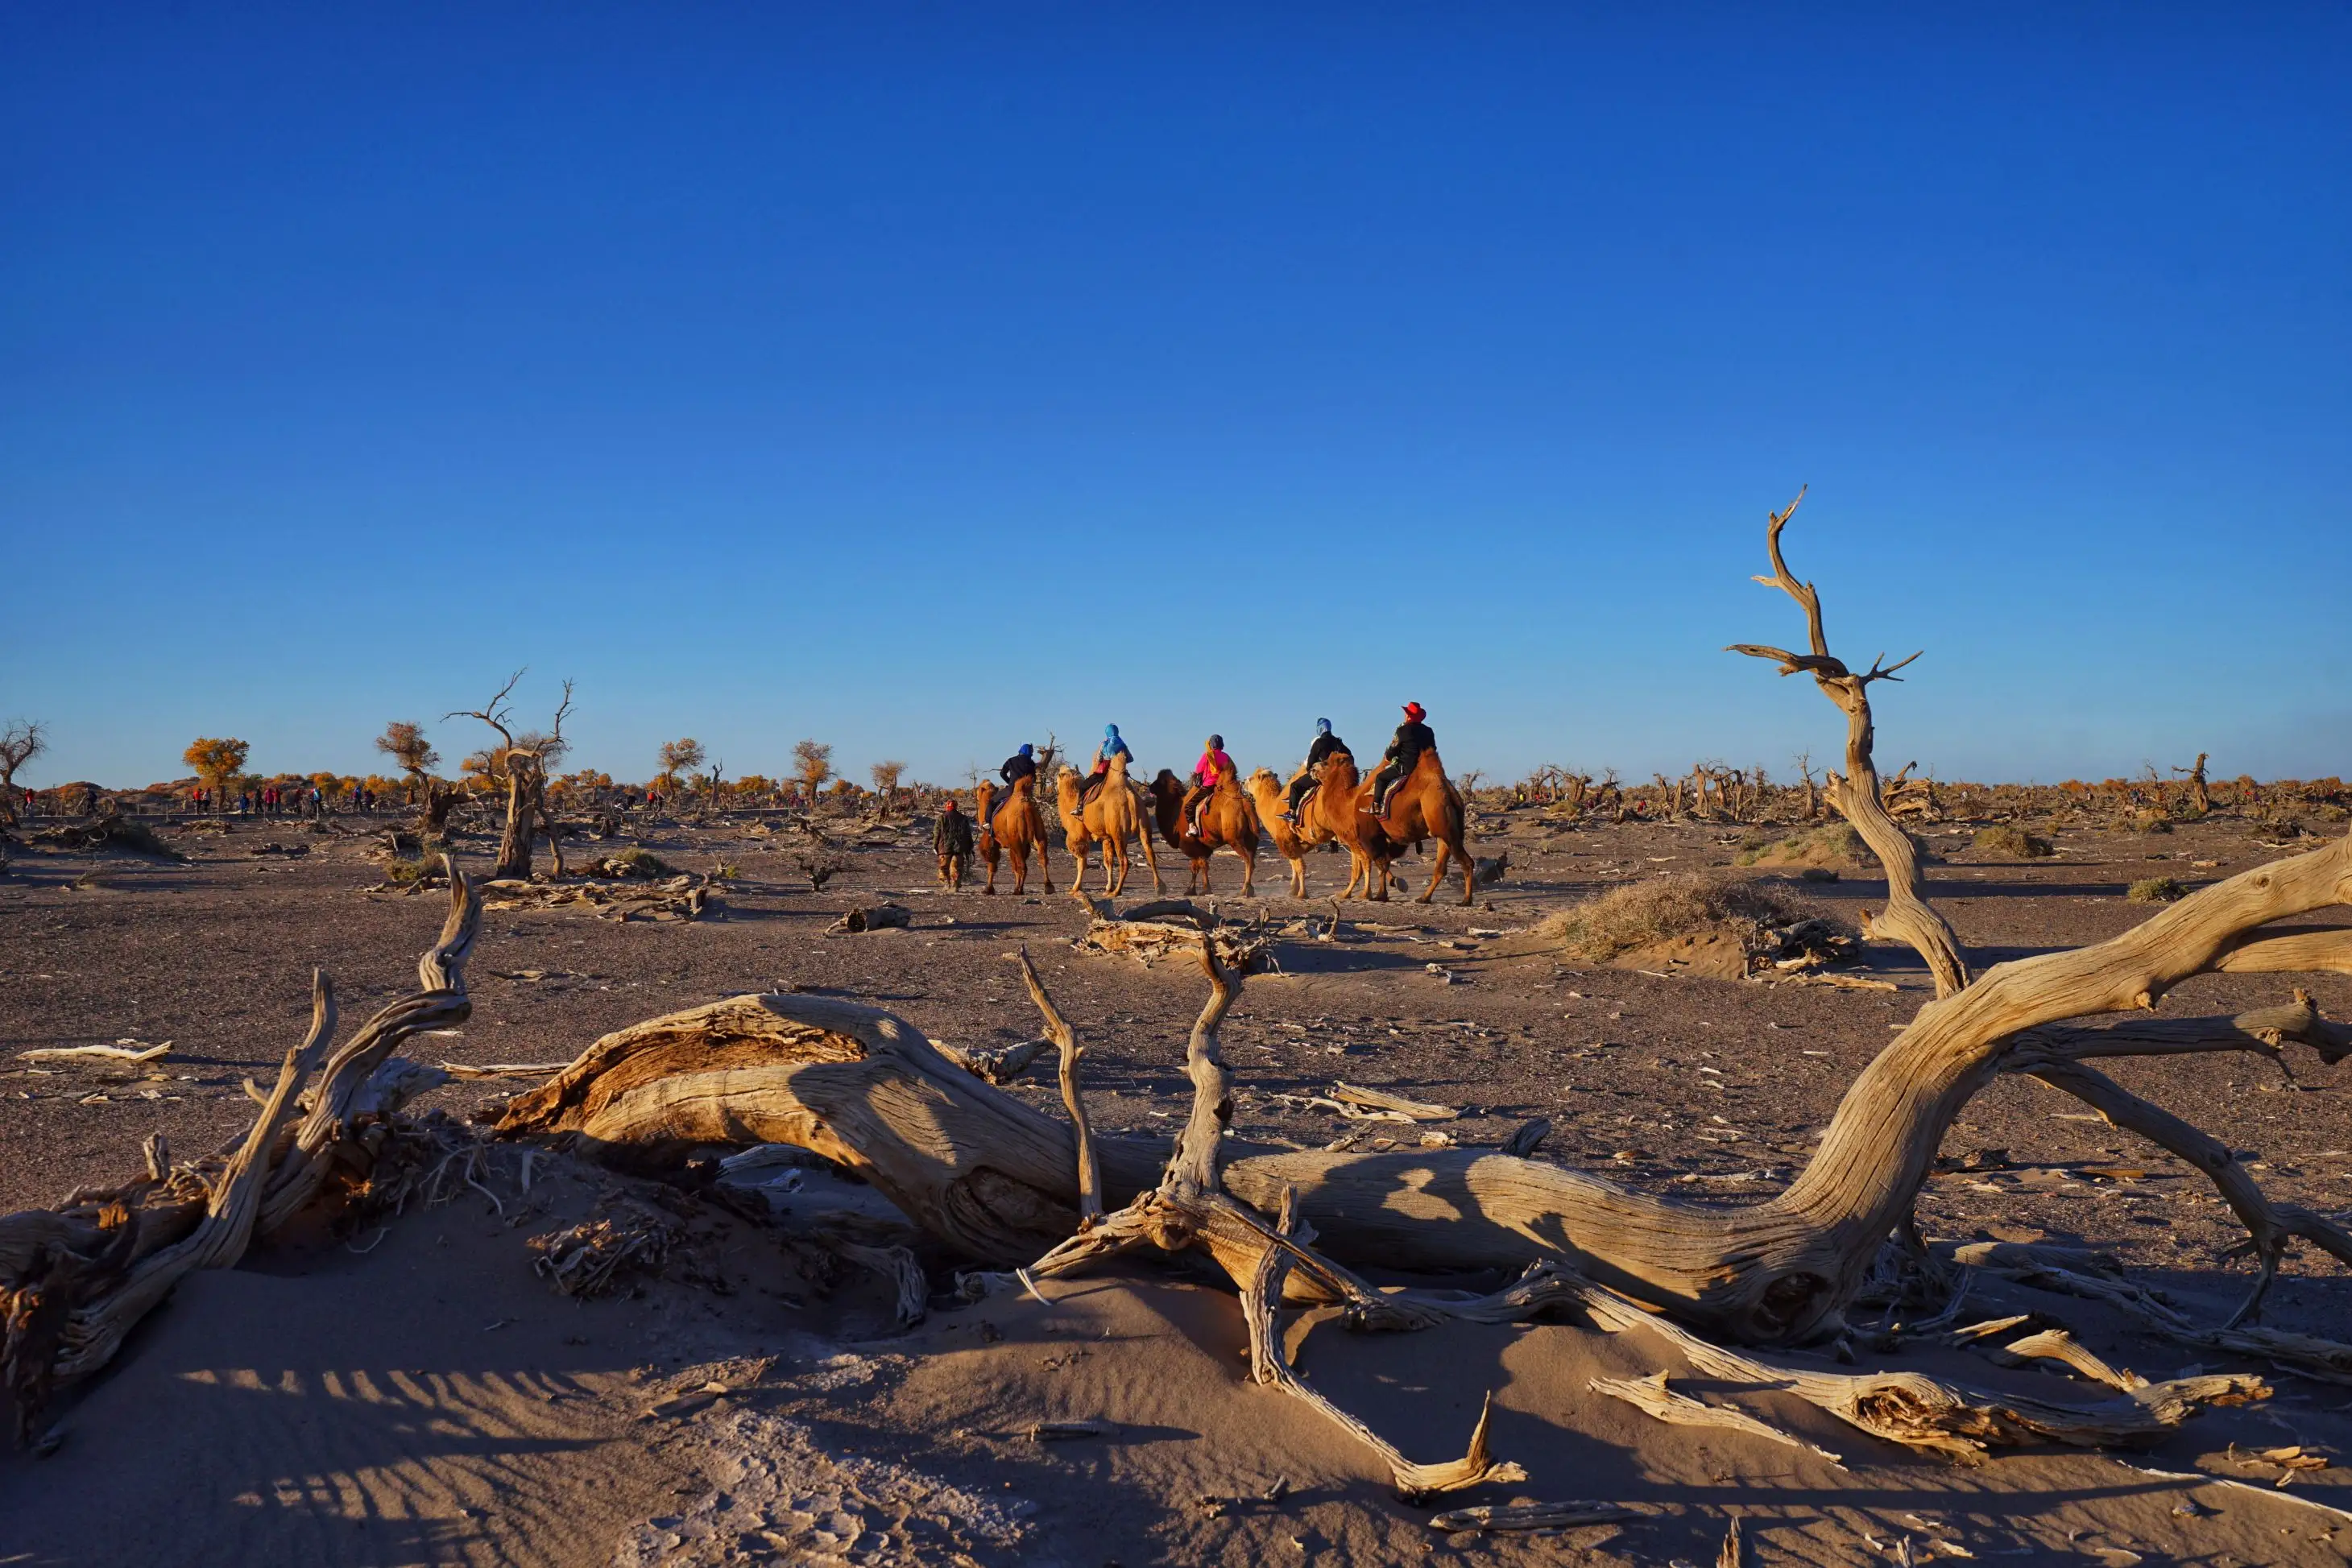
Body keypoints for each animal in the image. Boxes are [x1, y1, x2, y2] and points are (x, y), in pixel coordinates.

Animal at [969, 780, 1054, 902]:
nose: (973, 794)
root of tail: (1026, 808)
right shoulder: (1014, 845)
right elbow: (1014, 867)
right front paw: (1015, 886)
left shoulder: (992, 841)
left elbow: (992, 864)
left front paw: (988, 889)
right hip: (1039, 832)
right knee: (1042, 859)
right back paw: (1048, 887)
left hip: (1017, 839)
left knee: (1023, 866)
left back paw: (1020, 891)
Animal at [1054, 756, 1162, 893]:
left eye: (1058, 775)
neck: (1071, 802)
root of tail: (1130, 797)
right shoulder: (1106, 838)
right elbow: (1108, 861)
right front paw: (1109, 887)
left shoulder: (1079, 835)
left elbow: (1082, 862)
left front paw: (1076, 888)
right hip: (1144, 826)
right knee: (1150, 854)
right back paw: (1159, 886)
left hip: (1118, 832)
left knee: (1124, 861)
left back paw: (1118, 891)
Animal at [1143, 771, 1261, 893]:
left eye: (1160, 781)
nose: (1151, 787)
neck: (1176, 813)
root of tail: (1245, 805)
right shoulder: (1203, 848)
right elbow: (1200, 866)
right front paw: (1194, 890)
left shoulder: (1192, 845)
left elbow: (1199, 866)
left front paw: (1201, 889)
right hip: (1251, 839)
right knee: (1252, 860)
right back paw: (1250, 889)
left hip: (1234, 840)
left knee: (1248, 860)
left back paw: (1245, 890)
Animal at [1241, 771, 1335, 902]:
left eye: (1251, 779)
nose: (1242, 782)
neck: (1272, 811)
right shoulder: (1296, 844)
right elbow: (1294, 865)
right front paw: (1293, 890)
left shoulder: (1287, 841)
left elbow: (1300, 867)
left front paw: (1302, 894)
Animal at [1364, 747, 1468, 907]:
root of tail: (1451, 794)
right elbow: (1383, 862)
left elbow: (1381, 862)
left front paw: (1381, 895)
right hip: (1444, 835)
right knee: (1441, 869)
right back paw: (1424, 898)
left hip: (1447, 832)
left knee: (1466, 862)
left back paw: (1466, 900)